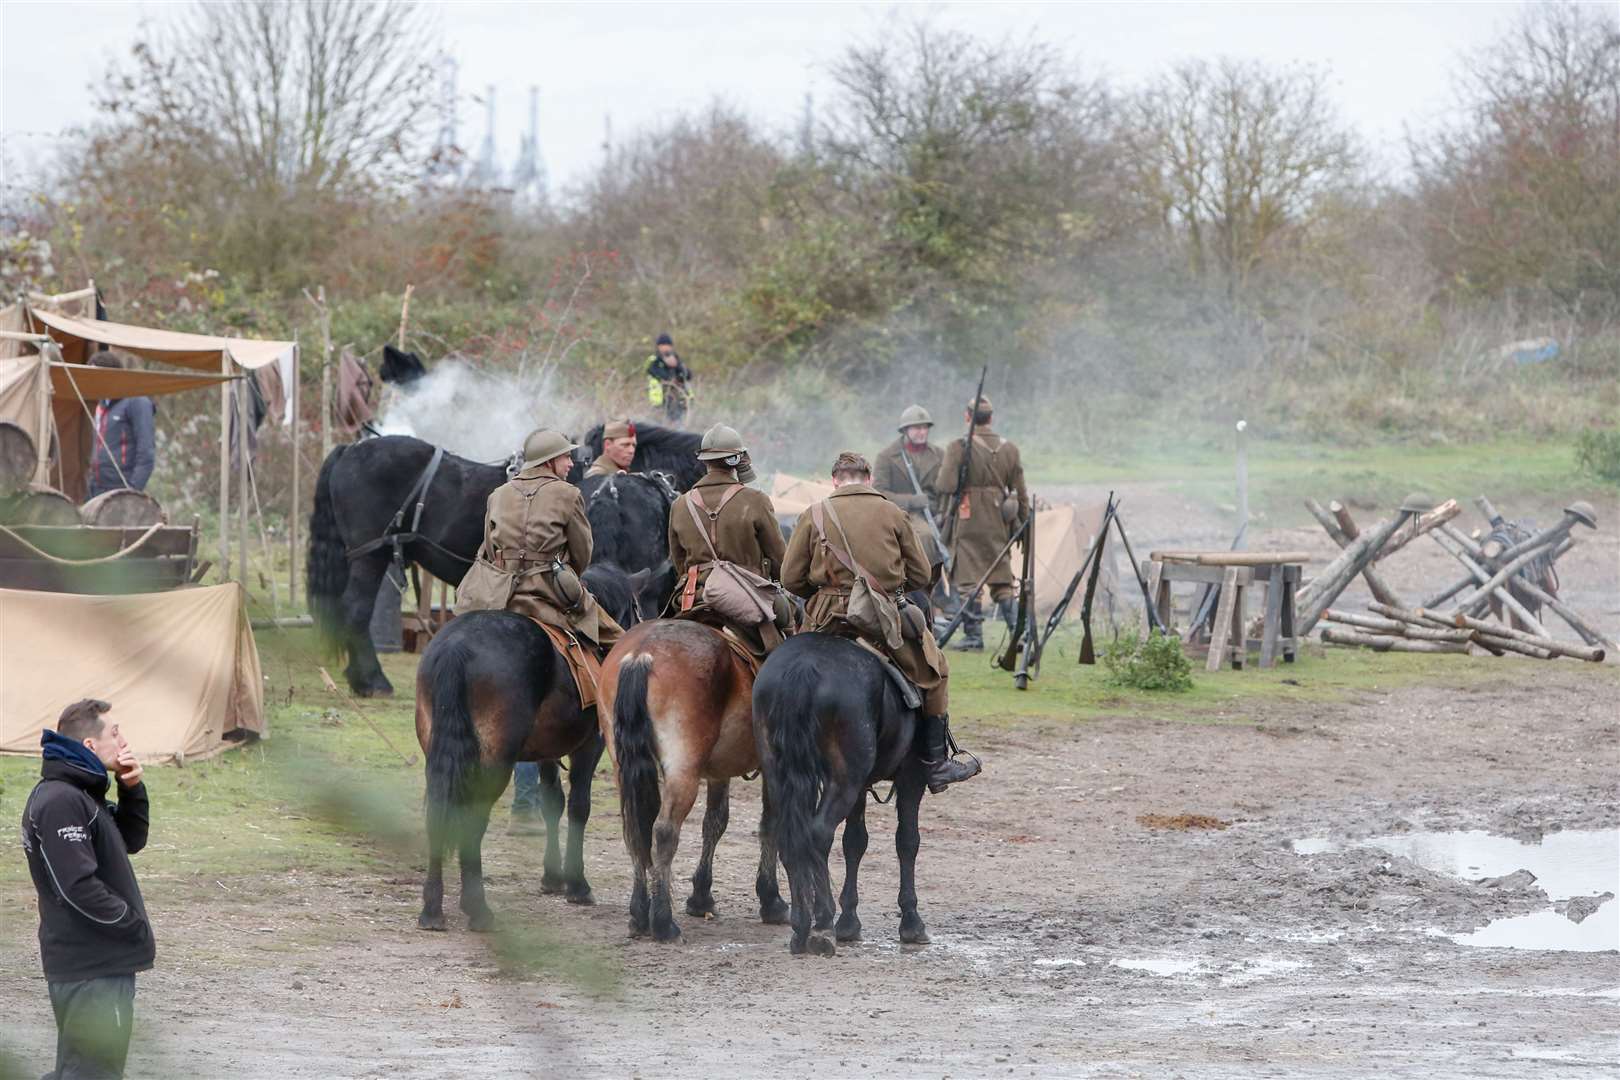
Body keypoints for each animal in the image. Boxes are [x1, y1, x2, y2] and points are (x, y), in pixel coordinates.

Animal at [417, 563, 644, 932]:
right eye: (637, 607)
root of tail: (457, 647)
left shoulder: (545, 752)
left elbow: (552, 802)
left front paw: (552, 877)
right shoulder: (590, 746)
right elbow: (578, 806)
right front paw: (577, 884)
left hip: (437, 755)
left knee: (438, 813)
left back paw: (433, 908)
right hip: (493, 764)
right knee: (472, 819)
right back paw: (477, 908)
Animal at [602, 621, 790, 939]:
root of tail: (641, 654)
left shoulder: (719, 772)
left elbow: (715, 823)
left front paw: (701, 897)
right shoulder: (775, 765)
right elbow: (770, 824)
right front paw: (771, 899)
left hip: (622, 765)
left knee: (635, 831)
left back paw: (639, 914)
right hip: (683, 769)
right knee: (664, 832)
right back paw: (663, 922)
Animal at [751, 634, 933, 952]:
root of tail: (803, 666)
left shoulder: (861, 787)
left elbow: (854, 843)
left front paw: (849, 921)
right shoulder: (912, 776)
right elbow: (907, 841)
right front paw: (911, 922)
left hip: (780, 774)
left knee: (789, 836)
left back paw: (801, 925)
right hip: (844, 779)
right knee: (818, 834)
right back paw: (822, 923)